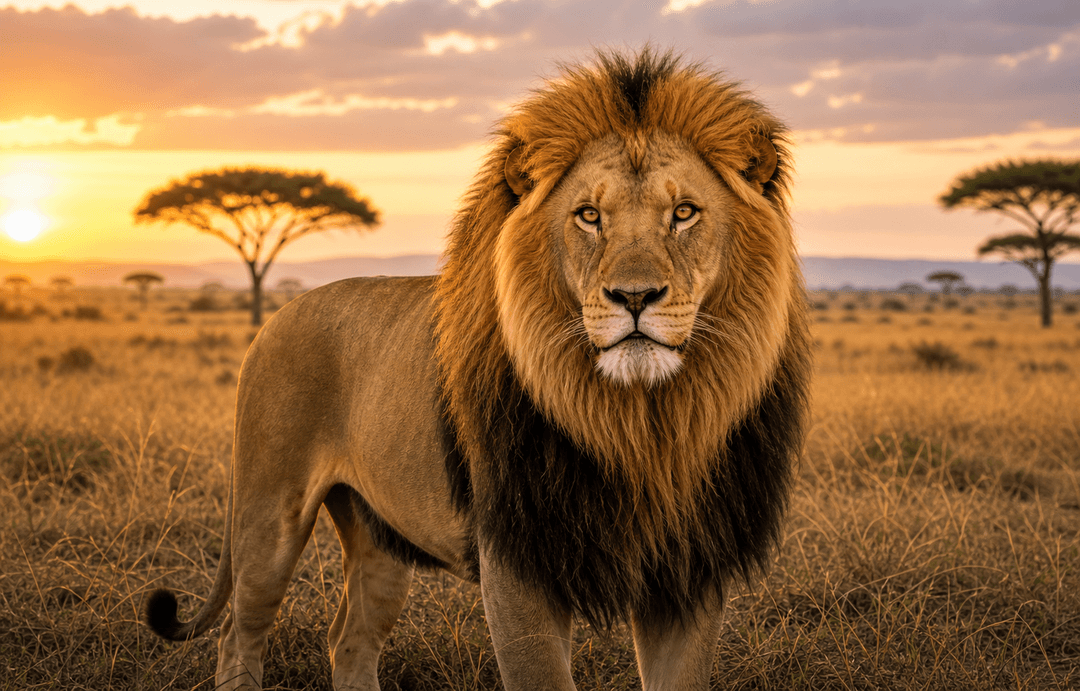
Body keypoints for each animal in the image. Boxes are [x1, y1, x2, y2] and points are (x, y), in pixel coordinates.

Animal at [145, 48, 812, 691]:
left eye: (684, 213)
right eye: (589, 216)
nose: (634, 296)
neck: (641, 427)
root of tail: (277, 315)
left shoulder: (689, 572)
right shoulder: (518, 564)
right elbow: (541, 679)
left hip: (380, 536)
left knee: (350, 640)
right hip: (269, 515)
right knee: (239, 635)